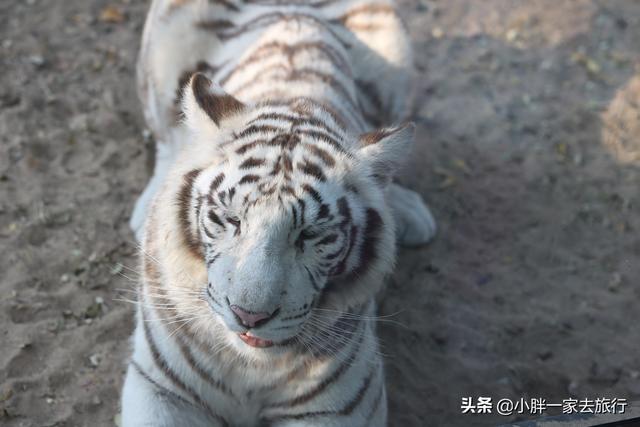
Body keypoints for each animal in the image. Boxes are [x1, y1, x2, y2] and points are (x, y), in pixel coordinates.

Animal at [122, 0, 438, 427]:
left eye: (310, 235)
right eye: (231, 219)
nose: (249, 316)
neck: (249, 366)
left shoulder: (341, 406)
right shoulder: (160, 386)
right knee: (166, 135)